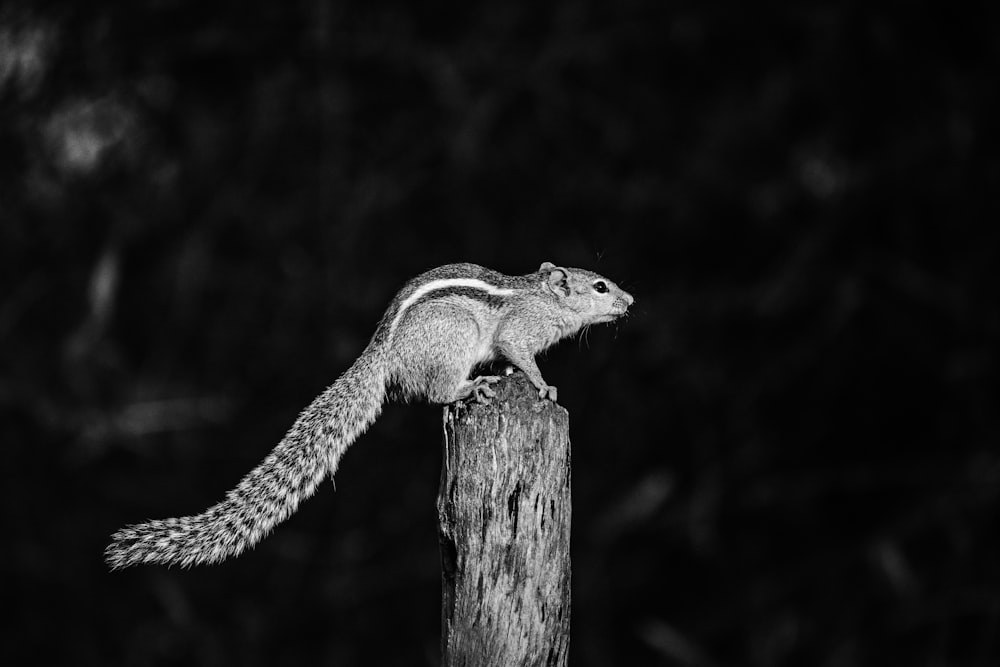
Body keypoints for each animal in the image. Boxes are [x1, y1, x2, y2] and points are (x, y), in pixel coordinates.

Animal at [103, 260, 632, 568]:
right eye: (600, 286)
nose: (630, 301)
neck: (544, 297)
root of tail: (382, 353)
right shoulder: (521, 333)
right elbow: (522, 356)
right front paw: (542, 385)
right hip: (454, 339)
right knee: (437, 392)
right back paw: (472, 385)